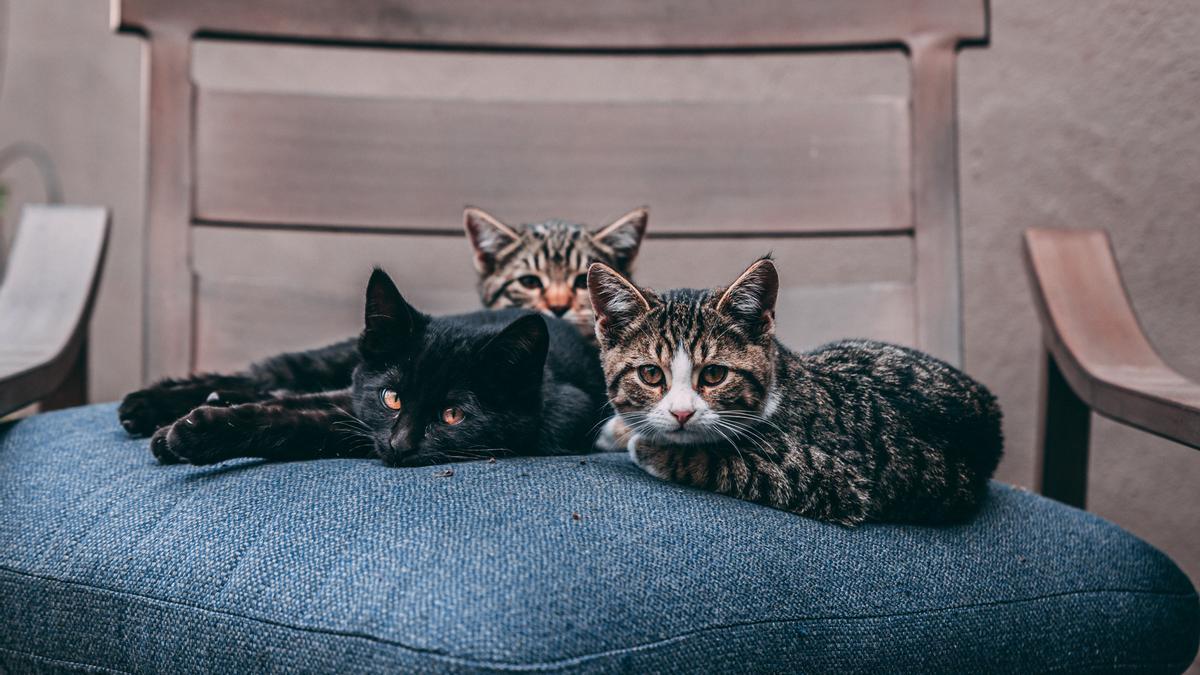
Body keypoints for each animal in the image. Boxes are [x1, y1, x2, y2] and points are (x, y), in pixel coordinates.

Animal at [141, 266, 609, 461]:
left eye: (453, 415)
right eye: (392, 399)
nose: (400, 445)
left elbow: (302, 419)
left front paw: (188, 434)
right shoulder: (357, 397)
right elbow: (297, 404)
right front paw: (175, 430)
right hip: (335, 357)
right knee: (273, 372)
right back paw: (143, 405)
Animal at [590, 254, 1003, 523]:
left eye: (714, 375)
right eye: (650, 374)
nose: (681, 413)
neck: (781, 381)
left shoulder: (834, 478)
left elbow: (719, 460)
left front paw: (649, 447)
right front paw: (623, 428)